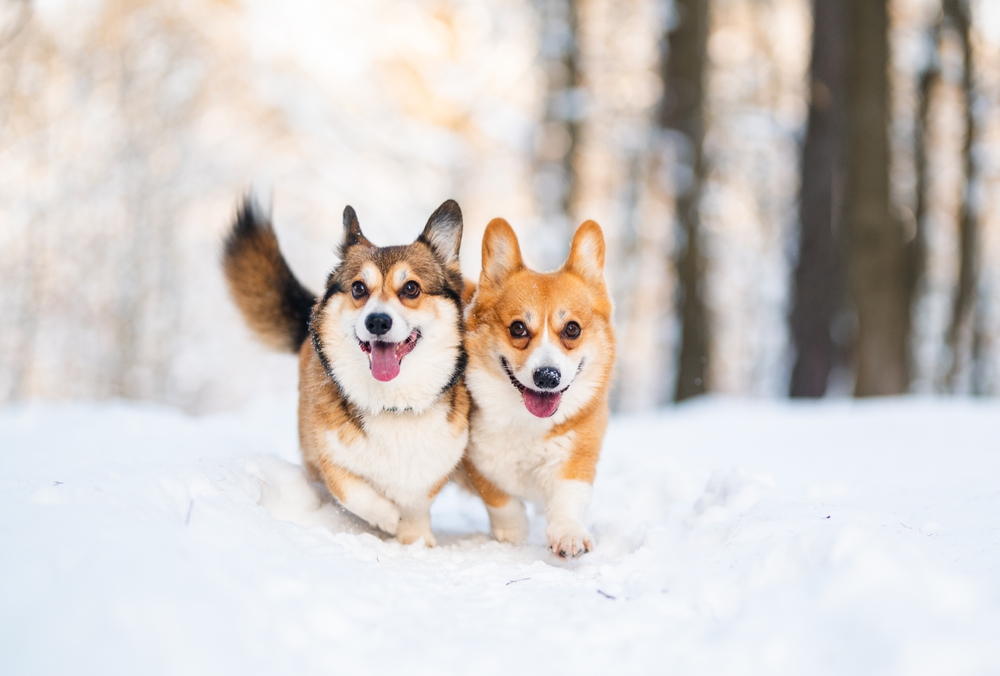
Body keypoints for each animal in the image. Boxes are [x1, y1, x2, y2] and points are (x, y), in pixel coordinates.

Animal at [223, 198, 468, 548]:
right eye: (358, 288)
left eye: (411, 288)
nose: (377, 321)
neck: (394, 405)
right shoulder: (328, 455)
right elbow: (351, 489)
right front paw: (388, 517)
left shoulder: (440, 462)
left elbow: (418, 502)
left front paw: (416, 537)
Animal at [462, 219, 616, 556]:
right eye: (518, 328)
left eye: (572, 329)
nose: (547, 377)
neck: (527, 422)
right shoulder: (477, 465)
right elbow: (503, 502)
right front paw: (513, 538)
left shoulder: (576, 457)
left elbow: (567, 498)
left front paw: (569, 535)